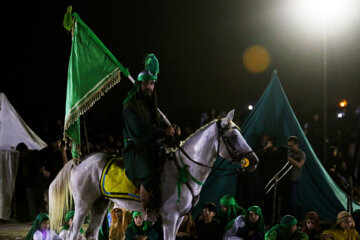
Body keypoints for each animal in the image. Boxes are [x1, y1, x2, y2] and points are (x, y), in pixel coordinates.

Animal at [50, 109, 258, 239]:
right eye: (232, 137)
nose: (255, 161)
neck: (185, 169)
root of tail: (79, 162)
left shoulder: (179, 218)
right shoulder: (170, 218)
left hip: (100, 204)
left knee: (90, 234)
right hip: (82, 205)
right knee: (73, 234)